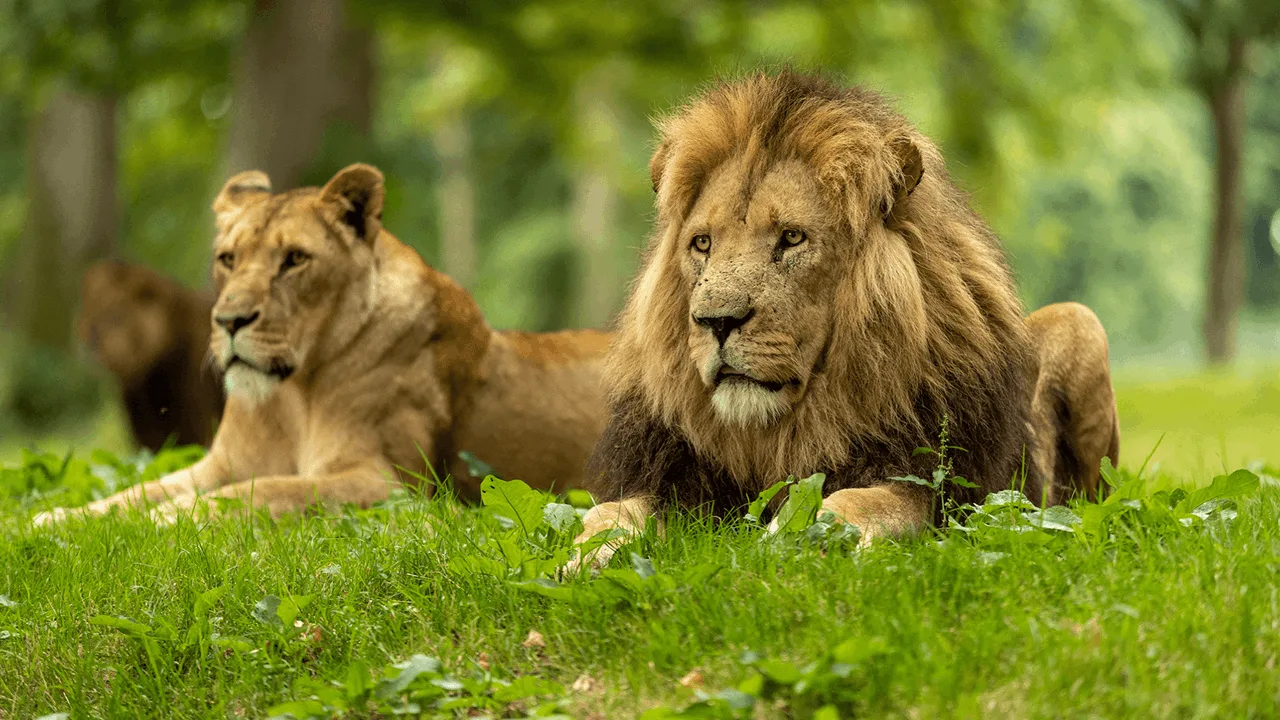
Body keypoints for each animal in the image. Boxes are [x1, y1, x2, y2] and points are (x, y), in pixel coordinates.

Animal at [572, 71, 1119, 564]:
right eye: (702, 244)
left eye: (792, 238)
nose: (716, 321)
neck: (776, 437)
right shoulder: (675, 478)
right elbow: (612, 511)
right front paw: (588, 555)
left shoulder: (945, 491)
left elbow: (859, 499)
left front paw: (801, 536)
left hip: (1081, 322)